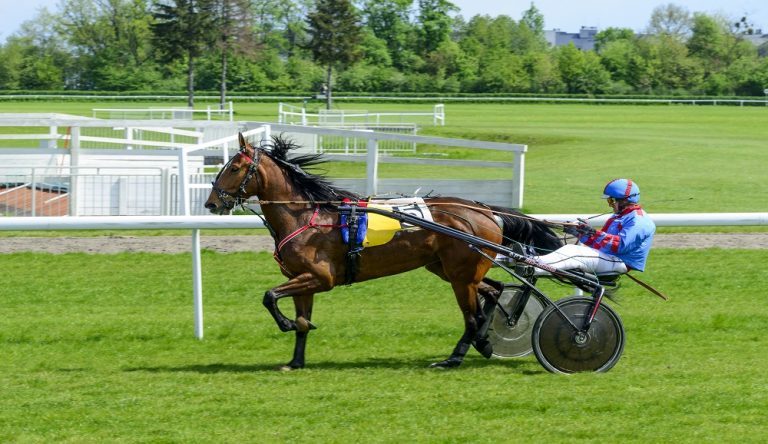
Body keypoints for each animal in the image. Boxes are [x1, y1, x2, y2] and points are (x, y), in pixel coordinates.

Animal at [205, 133, 563, 370]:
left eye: (234, 167)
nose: (211, 203)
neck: (305, 216)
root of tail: (485, 209)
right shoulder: (302, 279)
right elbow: (302, 319)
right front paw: (295, 360)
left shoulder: (320, 277)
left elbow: (269, 296)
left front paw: (286, 325)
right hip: (449, 269)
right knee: (495, 289)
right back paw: (485, 341)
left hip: (461, 275)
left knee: (472, 315)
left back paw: (455, 357)